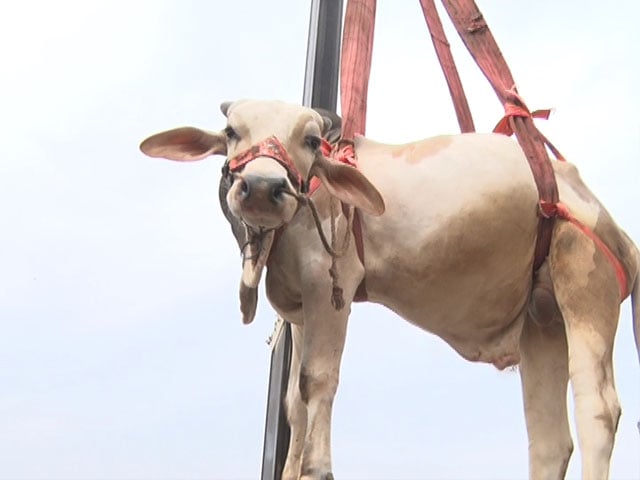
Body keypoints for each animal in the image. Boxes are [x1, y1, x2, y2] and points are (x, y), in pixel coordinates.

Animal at [141, 99, 640, 478]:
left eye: (310, 139)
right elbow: (293, 403)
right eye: (231, 131)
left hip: (584, 279)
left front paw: (317, 468)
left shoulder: (330, 285)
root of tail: (610, 223)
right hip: (542, 320)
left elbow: (316, 380)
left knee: (598, 411)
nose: (263, 186)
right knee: (549, 440)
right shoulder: (298, 309)